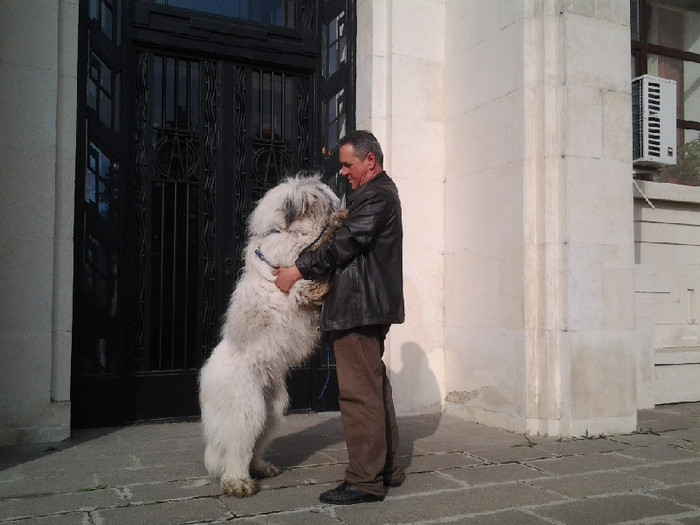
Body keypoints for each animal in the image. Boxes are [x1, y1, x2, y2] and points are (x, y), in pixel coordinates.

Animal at [200, 174, 342, 498]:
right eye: (318, 195)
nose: (338, 198)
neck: (281, 229)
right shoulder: (290, 252)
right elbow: (311, 241)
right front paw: (337, 222)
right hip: (245, 409)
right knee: (236, 449)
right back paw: (238, 484)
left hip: (272, 411)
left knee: (254, 446)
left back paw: (262, 468)